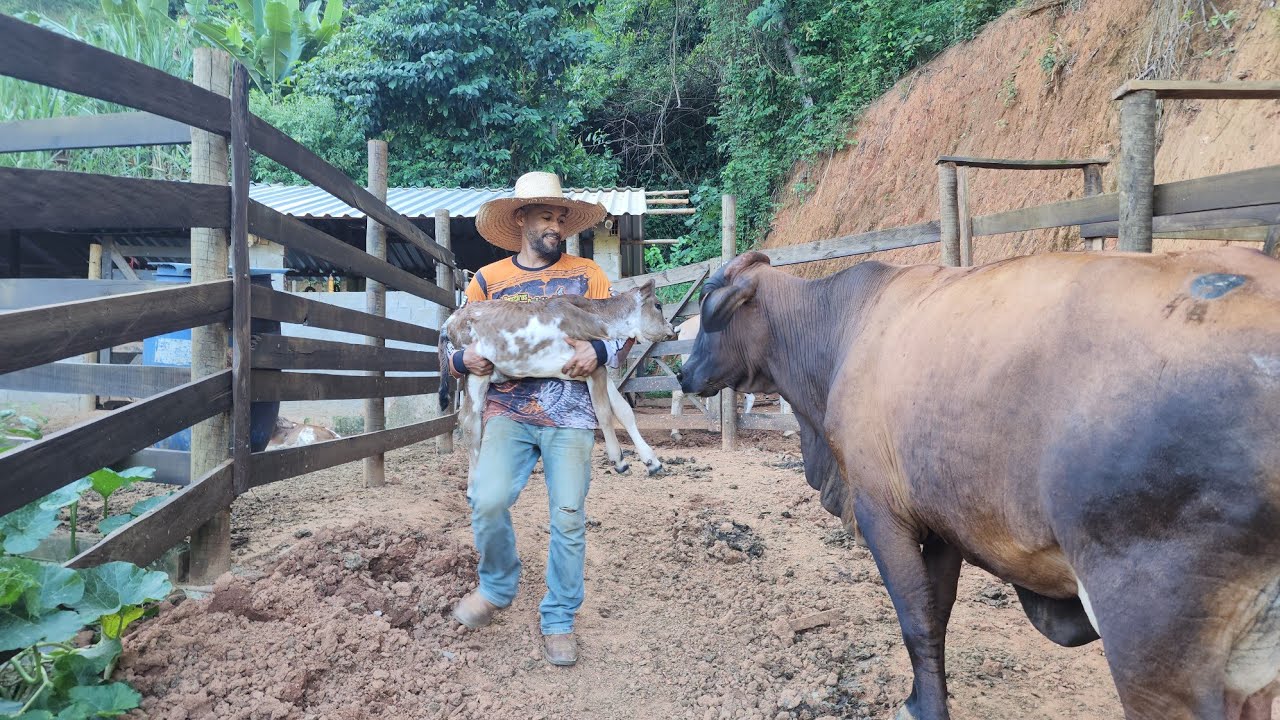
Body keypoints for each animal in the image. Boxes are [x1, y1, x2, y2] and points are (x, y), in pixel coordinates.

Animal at [439, 280, 674, 480]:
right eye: (658, 305)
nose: (671, 329)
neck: (599, 318)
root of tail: (451, 319)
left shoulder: (598, 366)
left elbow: (623, 411)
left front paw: (653, 462)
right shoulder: (593, 366)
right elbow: (604, 413)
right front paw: (619, 461)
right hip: (476, 370)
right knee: (469, 421)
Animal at [679, 248, 1280, 720]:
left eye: (709, 314)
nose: (683, 374)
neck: (841, 329)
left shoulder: (881, 513)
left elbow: (916, 619)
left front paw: (923, 709)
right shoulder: (945, 526)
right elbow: (938, 615)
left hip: (1152, 638)